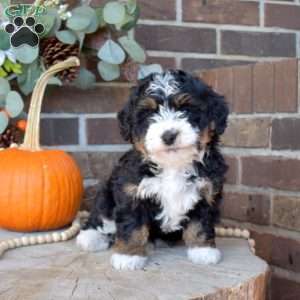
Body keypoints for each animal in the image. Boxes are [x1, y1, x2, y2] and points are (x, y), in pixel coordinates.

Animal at [76, 69, 229, 270]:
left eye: (186, 109)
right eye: (149, 114)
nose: (169, 135)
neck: (173, 164)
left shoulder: (207, 191)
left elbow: (201, 223)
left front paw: (203, 250)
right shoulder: (130, 191)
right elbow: (132, 225)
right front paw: (129, 256)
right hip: (107, 192)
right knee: (102, 216)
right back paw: (90, 237)